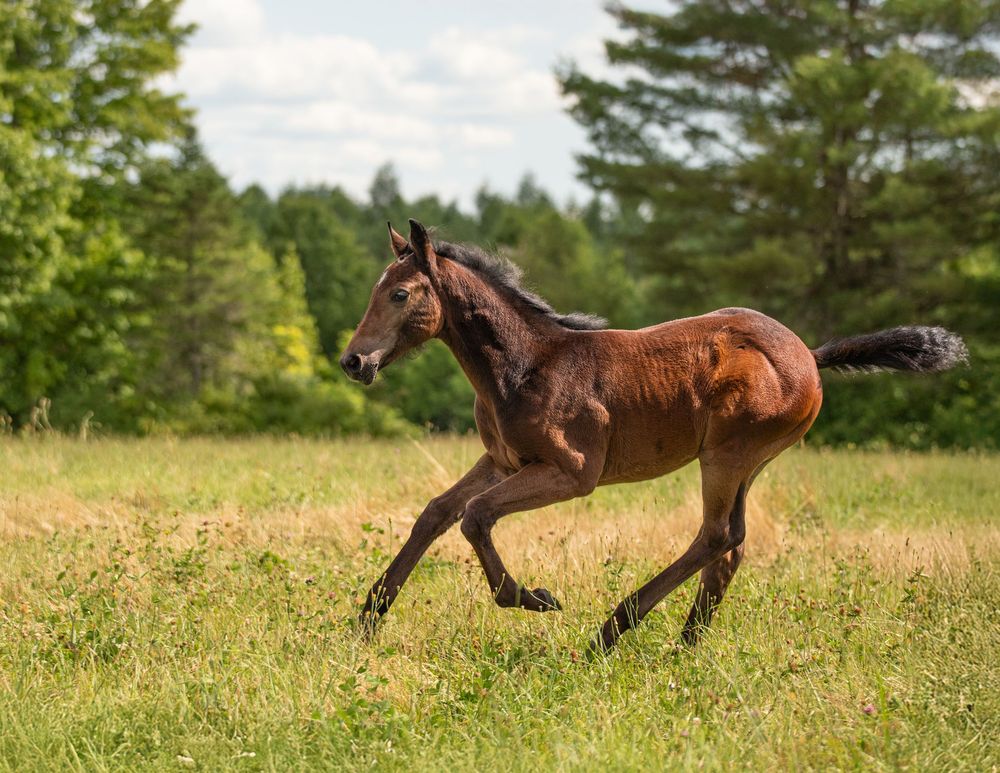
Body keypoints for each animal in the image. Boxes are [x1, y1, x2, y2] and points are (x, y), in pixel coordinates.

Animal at [339, 219, 967, 652]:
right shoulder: (504, 459)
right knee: (732, 545)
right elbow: (437, 512)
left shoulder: (571, 472)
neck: (527, 363)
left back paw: (611, 631)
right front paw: (367, 617)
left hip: (727, 454)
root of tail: (811, 357)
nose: (353, 361)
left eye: (400, 294)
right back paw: (685, 645)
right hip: (746, 460)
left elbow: (476, 516)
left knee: (716, 536)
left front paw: (532, 598)